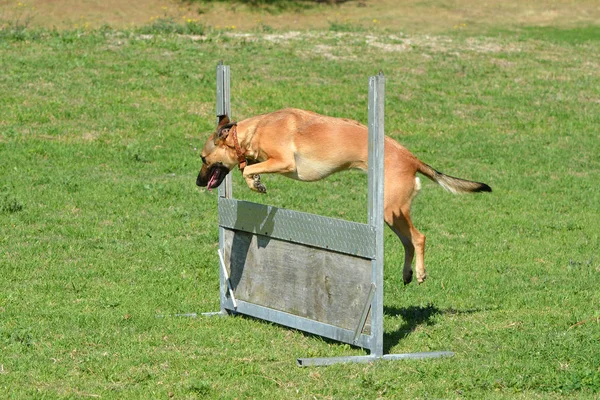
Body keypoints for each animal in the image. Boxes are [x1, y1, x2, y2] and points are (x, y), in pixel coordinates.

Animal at [198, 108, 492, 286]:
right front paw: (255, 179)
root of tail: (411, 158)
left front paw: (256, 182)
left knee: (419, 238)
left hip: (392, 210)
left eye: (202, 158)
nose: (198, 183)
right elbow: (248, 167)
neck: (254, 130)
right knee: (408, 242)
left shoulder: (284, 162)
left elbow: (249, 169)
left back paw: (419, 274)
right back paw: (407, 273)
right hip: (390, 215)